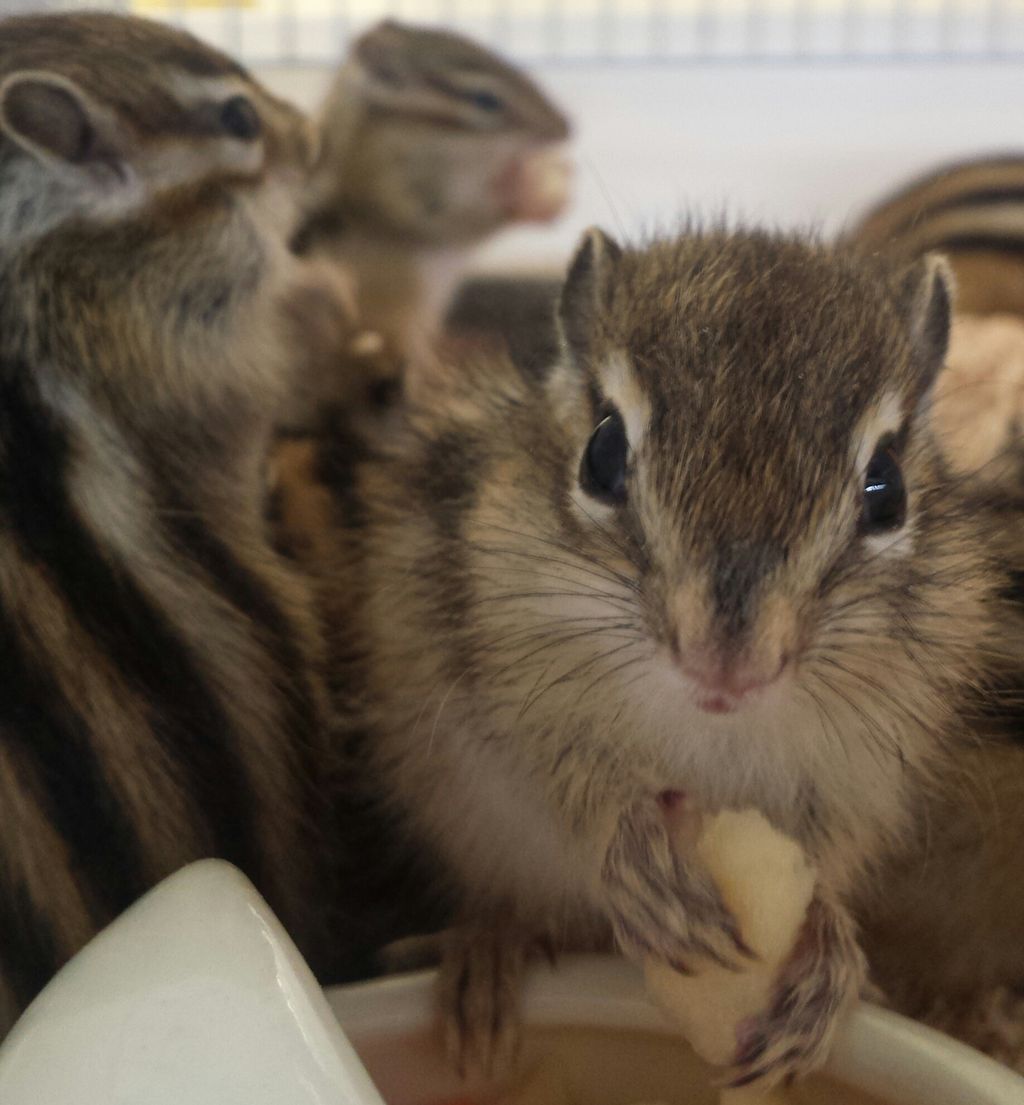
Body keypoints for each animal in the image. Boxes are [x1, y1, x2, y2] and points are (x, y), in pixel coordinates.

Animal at [273, 223, 1018, 1087]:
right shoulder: (509, 712)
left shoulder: (854, 777)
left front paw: (830, 955)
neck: (708, 732)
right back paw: (485, 959)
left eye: (888, 490)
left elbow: (823, 860)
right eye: (602, 454)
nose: (727, 665)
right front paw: (635, 861)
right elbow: (573, 792)